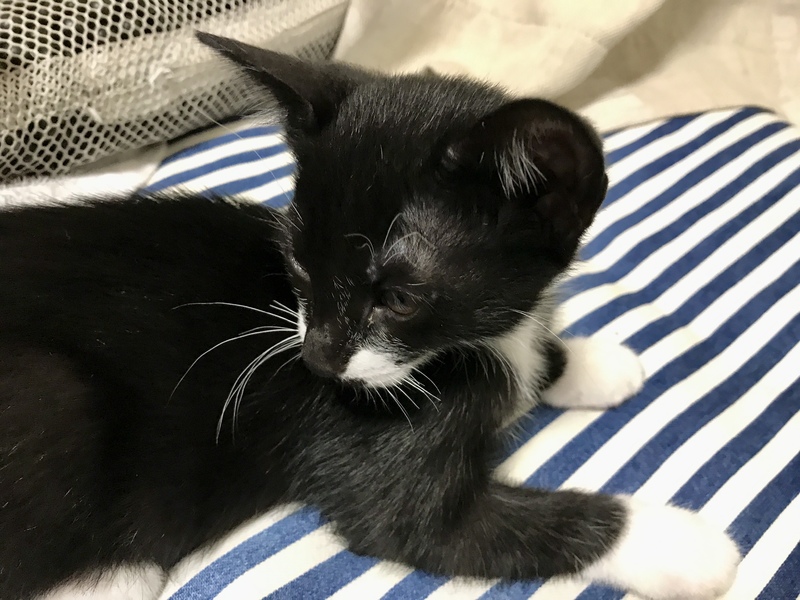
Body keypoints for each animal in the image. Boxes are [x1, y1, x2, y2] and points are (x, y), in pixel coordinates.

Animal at [0, 32, 740, 600]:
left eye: (399, 298)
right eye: (298, 268)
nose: (317, 360)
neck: (456, 354)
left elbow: (531, 354)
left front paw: (587, 362)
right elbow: (431, 527)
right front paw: (685, 545)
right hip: (54, 395)